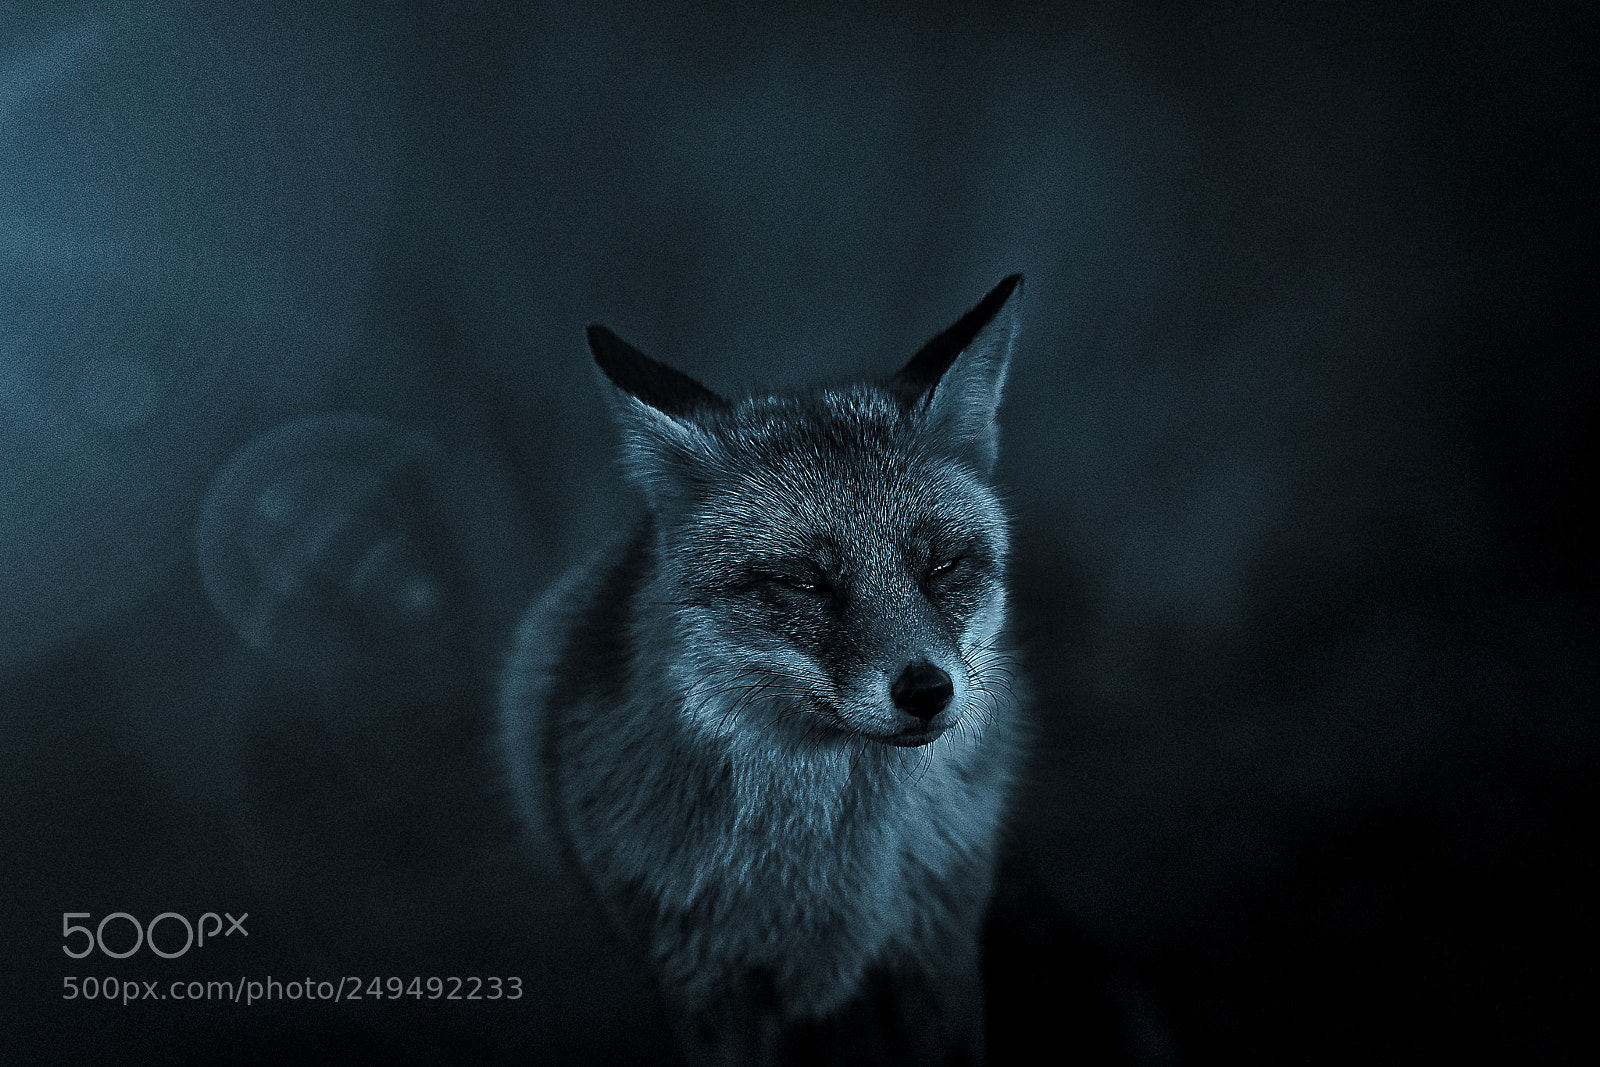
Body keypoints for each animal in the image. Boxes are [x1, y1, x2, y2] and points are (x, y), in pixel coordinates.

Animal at [498, 274, 1027, 1065]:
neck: (829, 879)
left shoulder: (938, 953)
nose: (928, 690)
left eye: (942, 566)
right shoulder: (702, 983)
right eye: (806, 583)